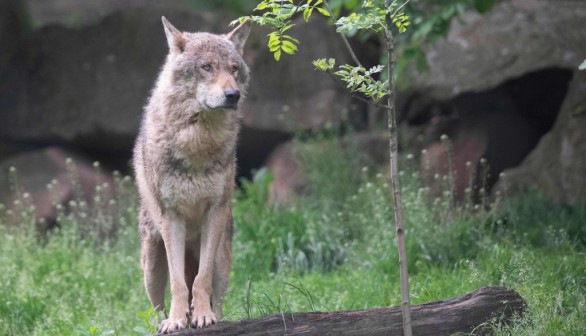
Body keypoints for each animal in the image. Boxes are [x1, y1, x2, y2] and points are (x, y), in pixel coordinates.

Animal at [131, 16, 250, 334]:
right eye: (207, 67)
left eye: (233, 69)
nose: (233, 95)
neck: (197, 142)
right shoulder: (172, 217)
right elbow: (178, 284)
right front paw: (176, 321)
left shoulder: (215, 212)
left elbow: (200, 280)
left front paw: (203, 316)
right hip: (151, 267)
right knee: (156, 306)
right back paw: (167, 321)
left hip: (223, 260)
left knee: (216, 293)